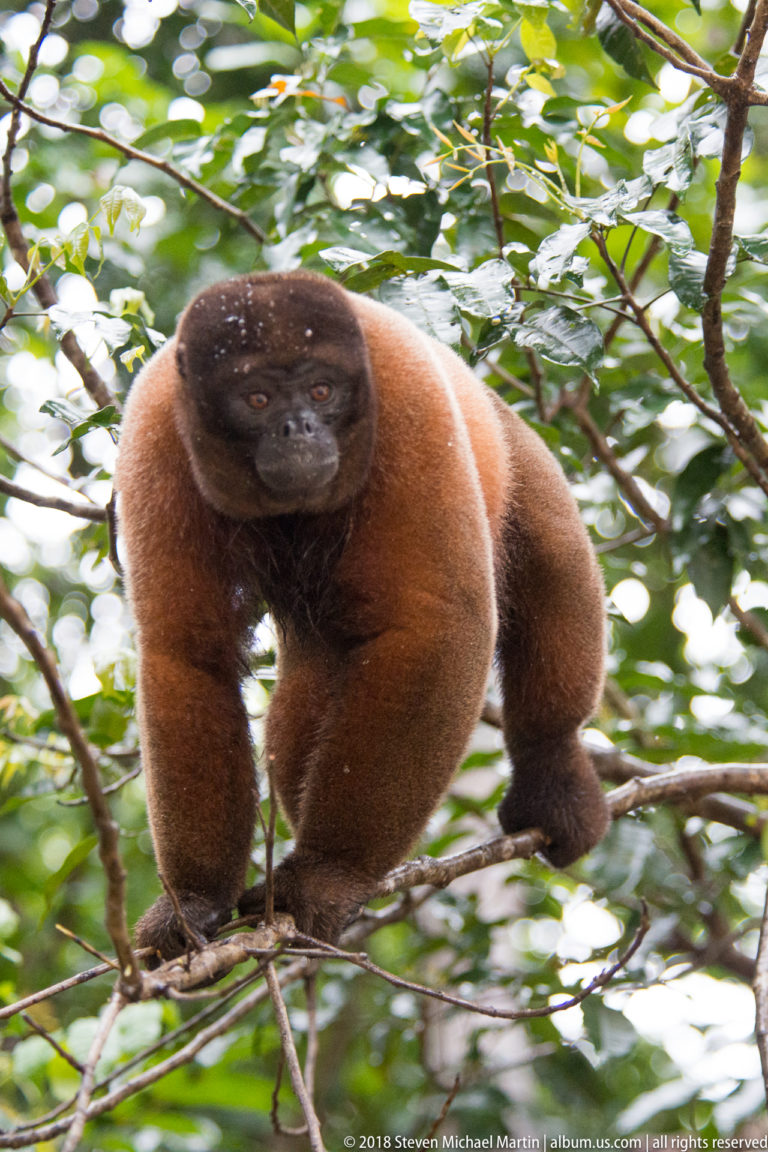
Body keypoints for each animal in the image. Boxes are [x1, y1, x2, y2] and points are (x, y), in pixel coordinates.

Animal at [115, 270, 609, 964]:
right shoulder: (155, 430)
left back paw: (553, 775)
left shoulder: (406, 394)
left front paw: (330, 874)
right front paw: (195, 899)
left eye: (322, 391)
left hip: (510, 439)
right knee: (306, 699)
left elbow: (439, 622)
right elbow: (188, 655)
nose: (298, 428)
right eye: (257, 399)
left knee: (551, 550)